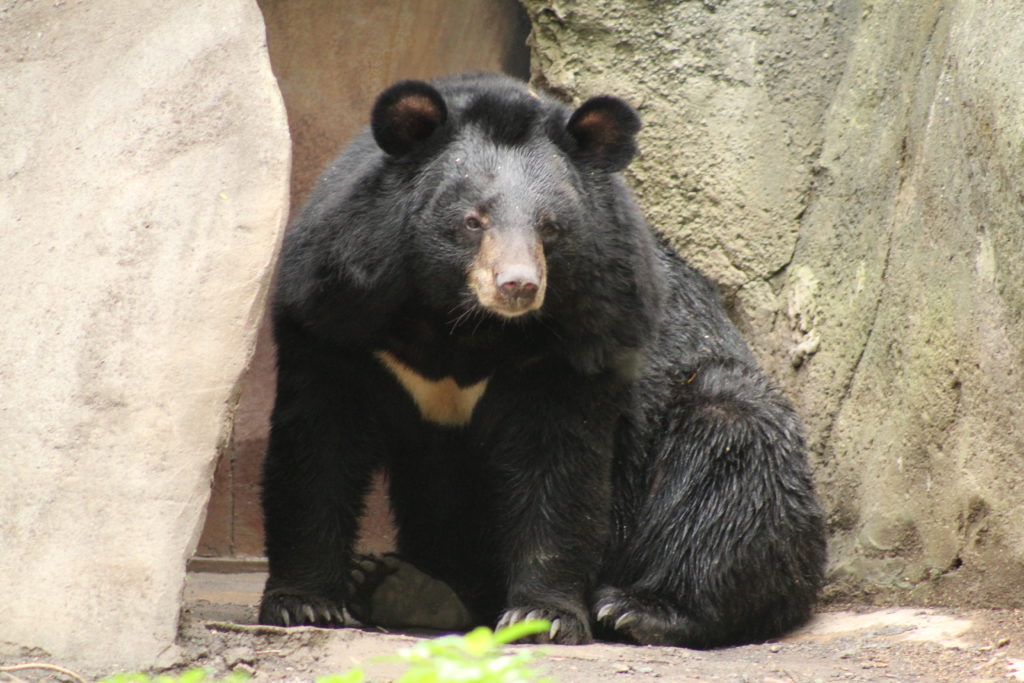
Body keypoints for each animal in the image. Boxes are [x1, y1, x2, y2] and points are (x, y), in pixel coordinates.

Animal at [258, 72, 823, 651]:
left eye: (550, 227)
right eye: (472, 221)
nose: (518, 285)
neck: (462, 325)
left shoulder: (586, 335)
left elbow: (560, 467)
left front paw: (543, 616)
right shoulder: (336, 311)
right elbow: (319, 445)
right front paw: (305, 602)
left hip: (718, 413)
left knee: (730, 468)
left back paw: (641, 608)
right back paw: (402, 584)